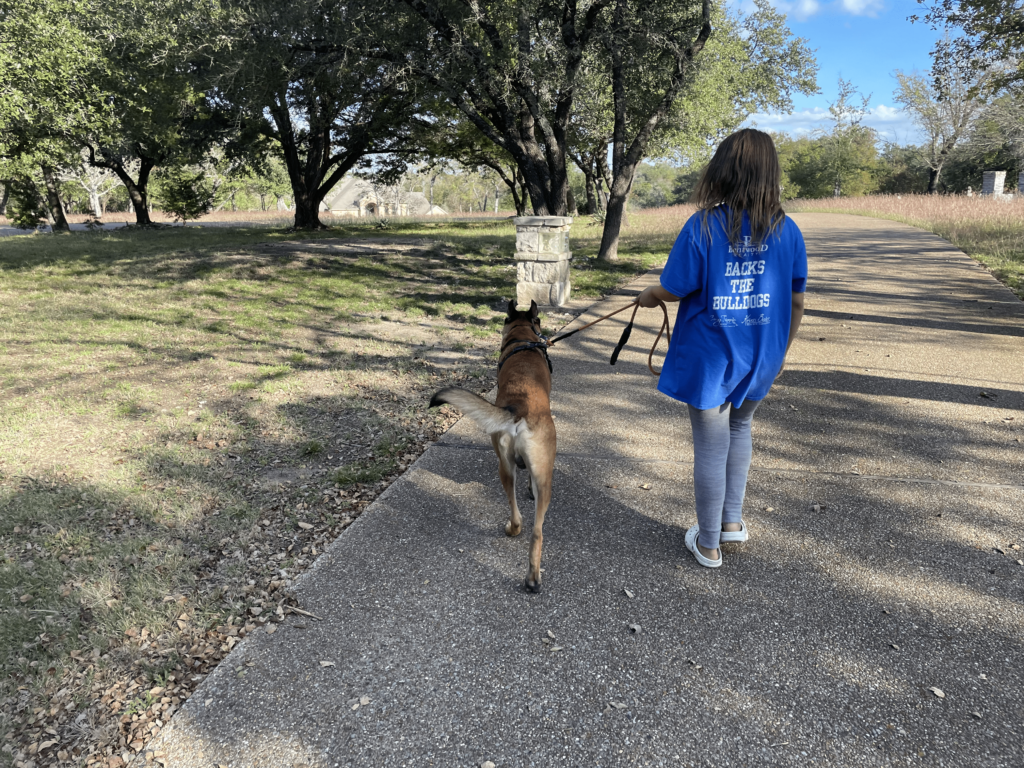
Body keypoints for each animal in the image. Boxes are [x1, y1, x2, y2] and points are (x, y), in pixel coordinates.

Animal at [432, 296, 561, 593]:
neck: (523, 336)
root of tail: (518, 409)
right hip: (531, 474)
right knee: (529, 525)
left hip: (510, 468)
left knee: (527, 524)